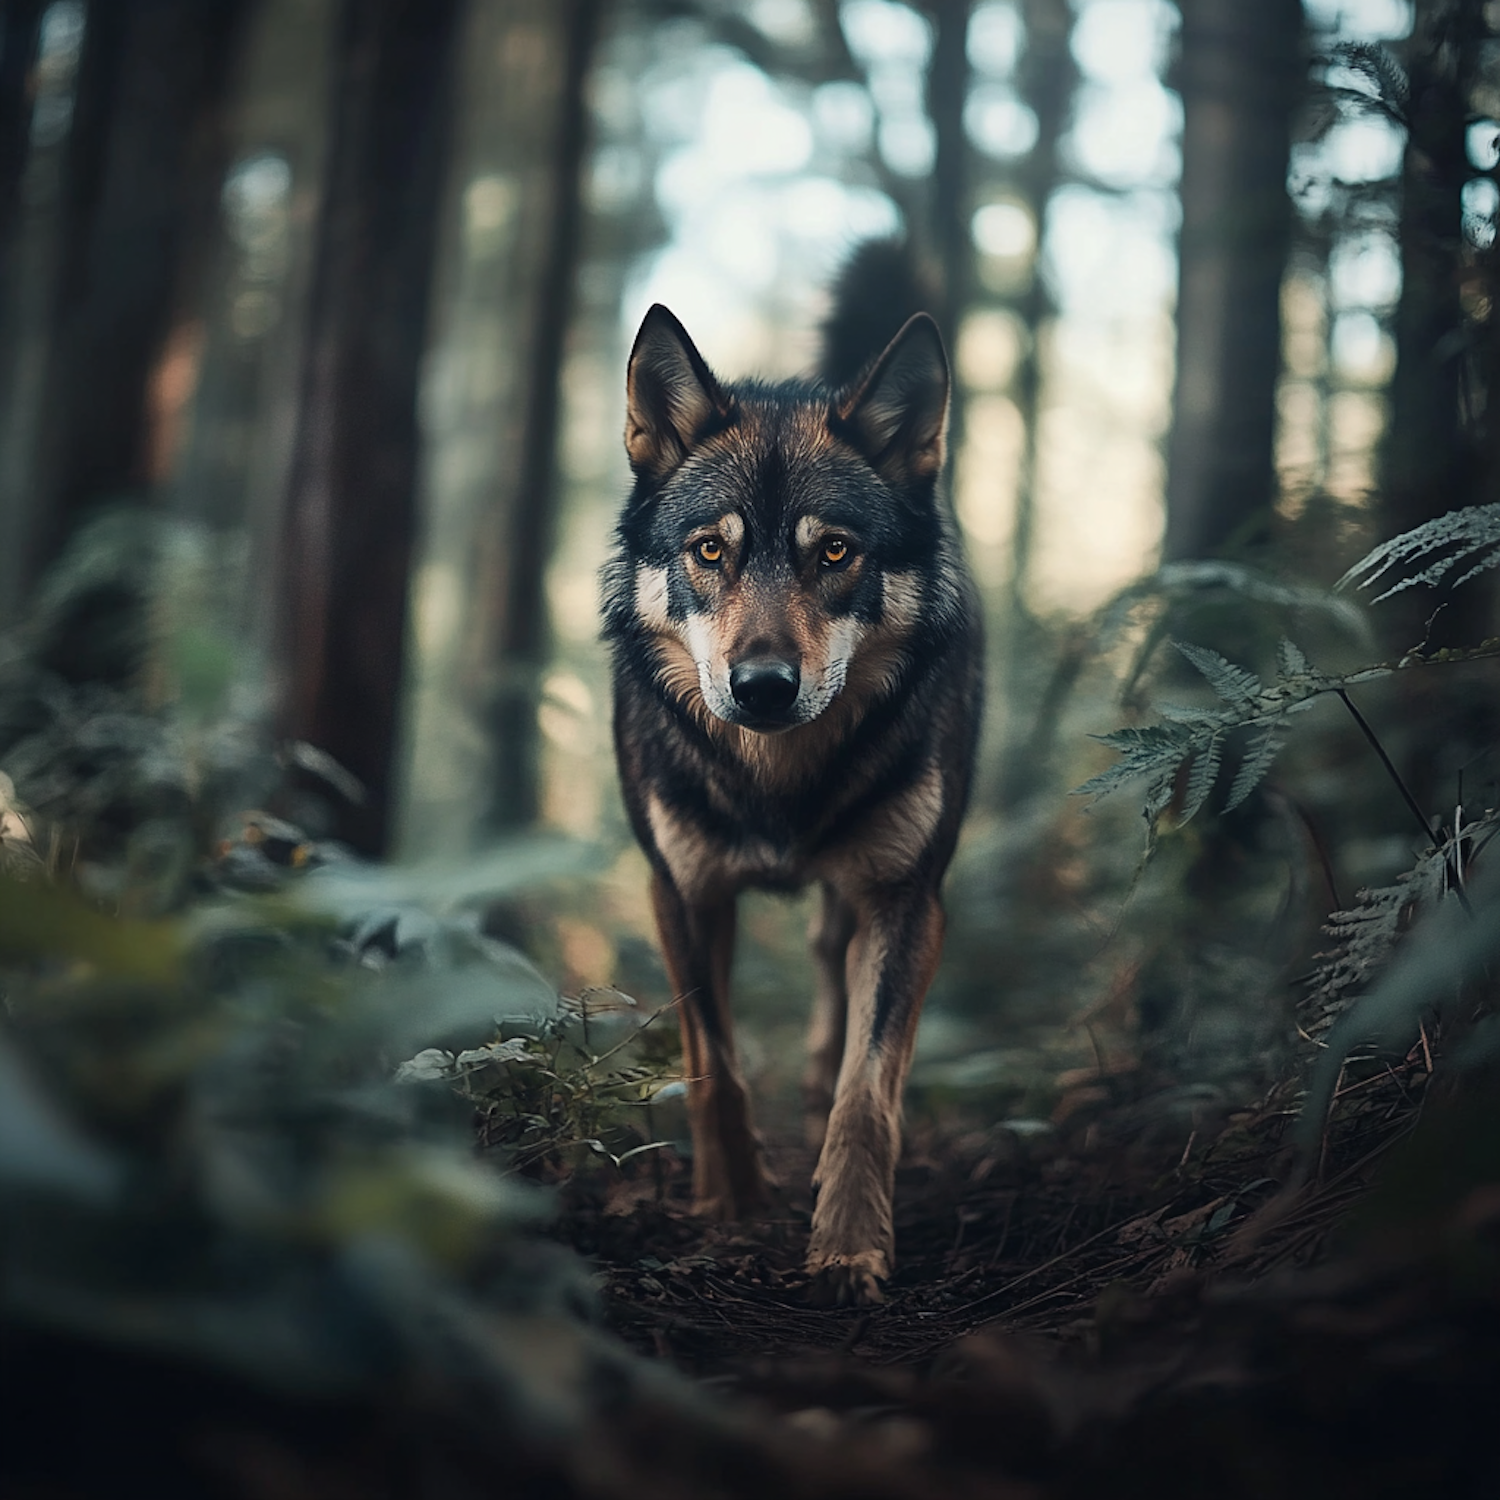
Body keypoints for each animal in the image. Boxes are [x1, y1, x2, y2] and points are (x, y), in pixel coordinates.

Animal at [600, 243, 984, 1302]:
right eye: (710, 550)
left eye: (836, 552)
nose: (763, 687)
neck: (775, 778)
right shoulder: (682, 889)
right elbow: (714, 1062)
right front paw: (731, 1199)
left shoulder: (908, 896)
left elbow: (869, 1089)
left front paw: (848, 1245)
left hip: (857, 896)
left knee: (828, 987)